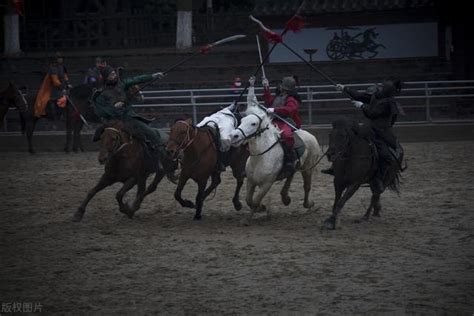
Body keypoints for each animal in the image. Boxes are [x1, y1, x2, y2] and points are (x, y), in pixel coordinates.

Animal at [231, 85, 322, 221]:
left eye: (253, 123)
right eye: (242, 120)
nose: (235, 136)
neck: (260, 157)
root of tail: (311, 136)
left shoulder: (266, 184)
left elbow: (255, 200)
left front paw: (258, 210)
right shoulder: (251, 181)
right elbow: (248, 200)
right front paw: (259, 210)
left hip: (307, 168)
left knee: (307, 186)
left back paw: (308, 204)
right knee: (290, 175)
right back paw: (285, 198)